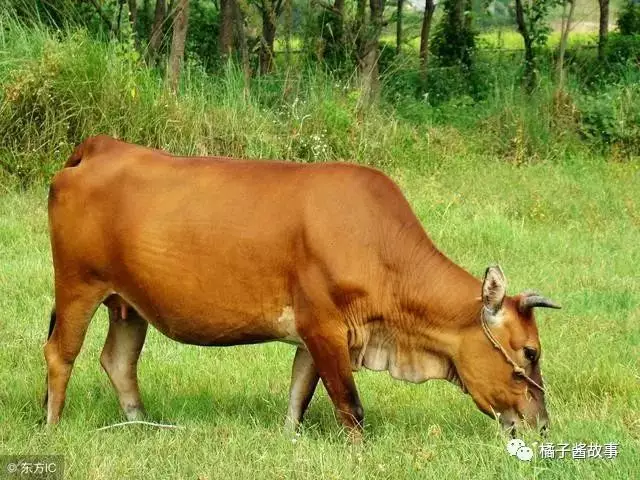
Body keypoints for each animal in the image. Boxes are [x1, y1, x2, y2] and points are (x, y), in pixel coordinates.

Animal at [43, 135, 560, 438]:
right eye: (530, 352)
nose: (541, 424)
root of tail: (100, 146)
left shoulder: (316, 335)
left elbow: (299, 393)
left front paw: (290, 436)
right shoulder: (324, 326)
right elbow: (349, 403)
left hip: (128, 302)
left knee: (118, 361)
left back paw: (141, 425)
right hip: (77, 286)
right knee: (59, 355)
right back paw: (52, 426)